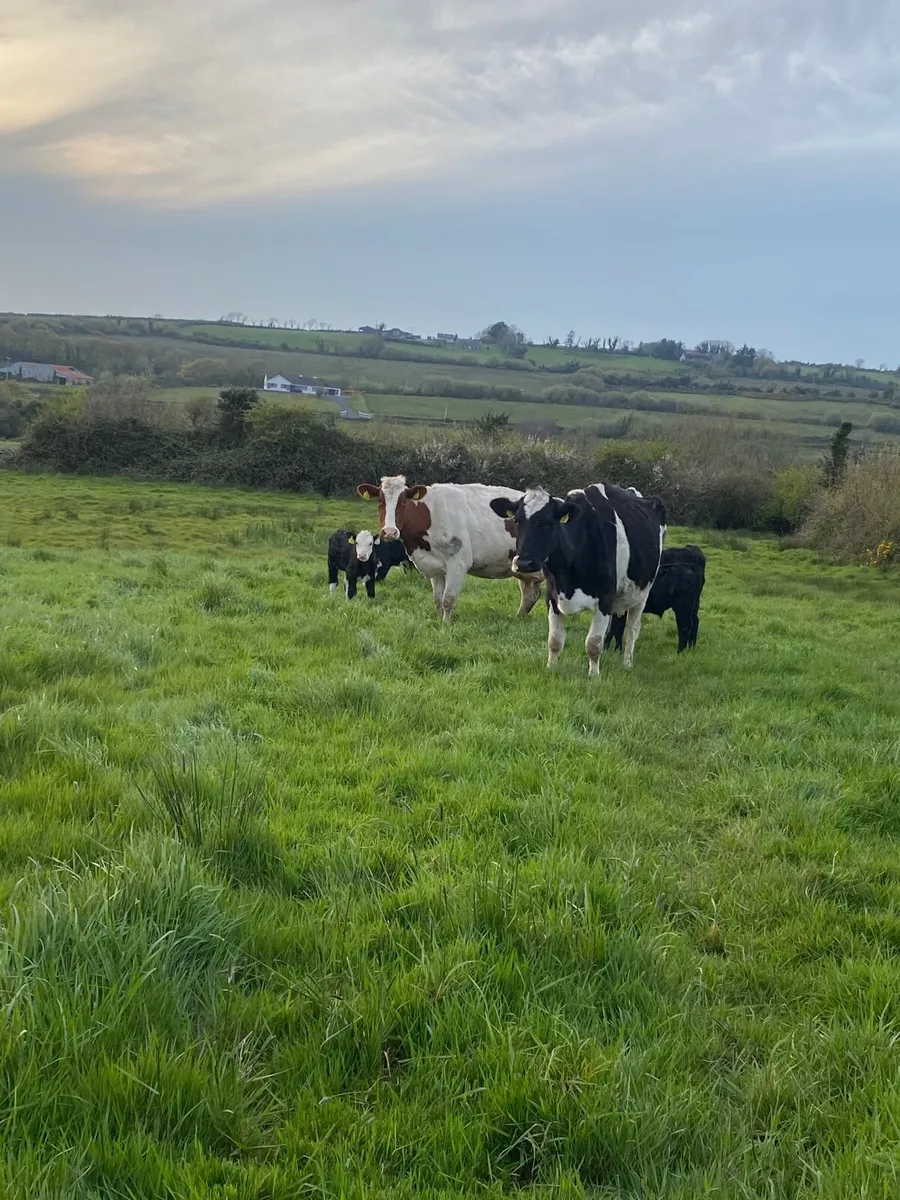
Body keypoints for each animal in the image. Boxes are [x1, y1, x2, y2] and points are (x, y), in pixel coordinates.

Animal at [356, 475, 542, 622]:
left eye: (403, 501)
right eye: (380, 501)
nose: (389, 531)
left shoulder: (458, 564)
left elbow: (448, 599)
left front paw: (446, 625)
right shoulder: (433, 567)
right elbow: (437, 599)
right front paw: (439, 621)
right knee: (530, 594)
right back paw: (517, 618)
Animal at [489, 483, 667, 674]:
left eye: (549, 522)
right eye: (516, 521)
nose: (524, 563)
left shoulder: (604, 599)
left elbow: (593, 644)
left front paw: (594, 675)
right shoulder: (552, 596)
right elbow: (554, 640)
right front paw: (551, 668)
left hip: (642, 593)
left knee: (633, 628)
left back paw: (627, 663)